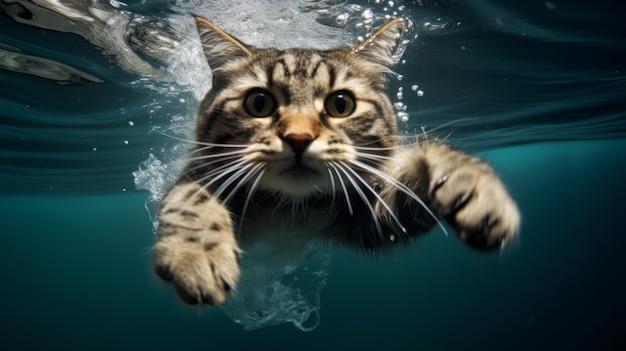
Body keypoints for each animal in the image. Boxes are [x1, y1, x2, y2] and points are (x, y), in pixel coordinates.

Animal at [154, 15, 520, 306]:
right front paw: (196, 255)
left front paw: (474, 187)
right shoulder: (201, 174)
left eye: (340, 104)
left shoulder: (376, 219)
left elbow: (431, 152)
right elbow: (191, 200)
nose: (299, 138)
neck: (291, 209)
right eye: (259, 103)